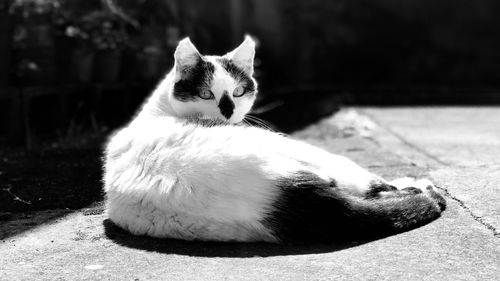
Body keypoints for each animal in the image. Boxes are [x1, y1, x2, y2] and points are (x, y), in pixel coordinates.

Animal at [103, 36, 448, 243]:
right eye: (206, 94)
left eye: (238, 91)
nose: (228, 111)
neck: (158, 110)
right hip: (304, 153)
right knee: (370, 185)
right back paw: (421, 188)